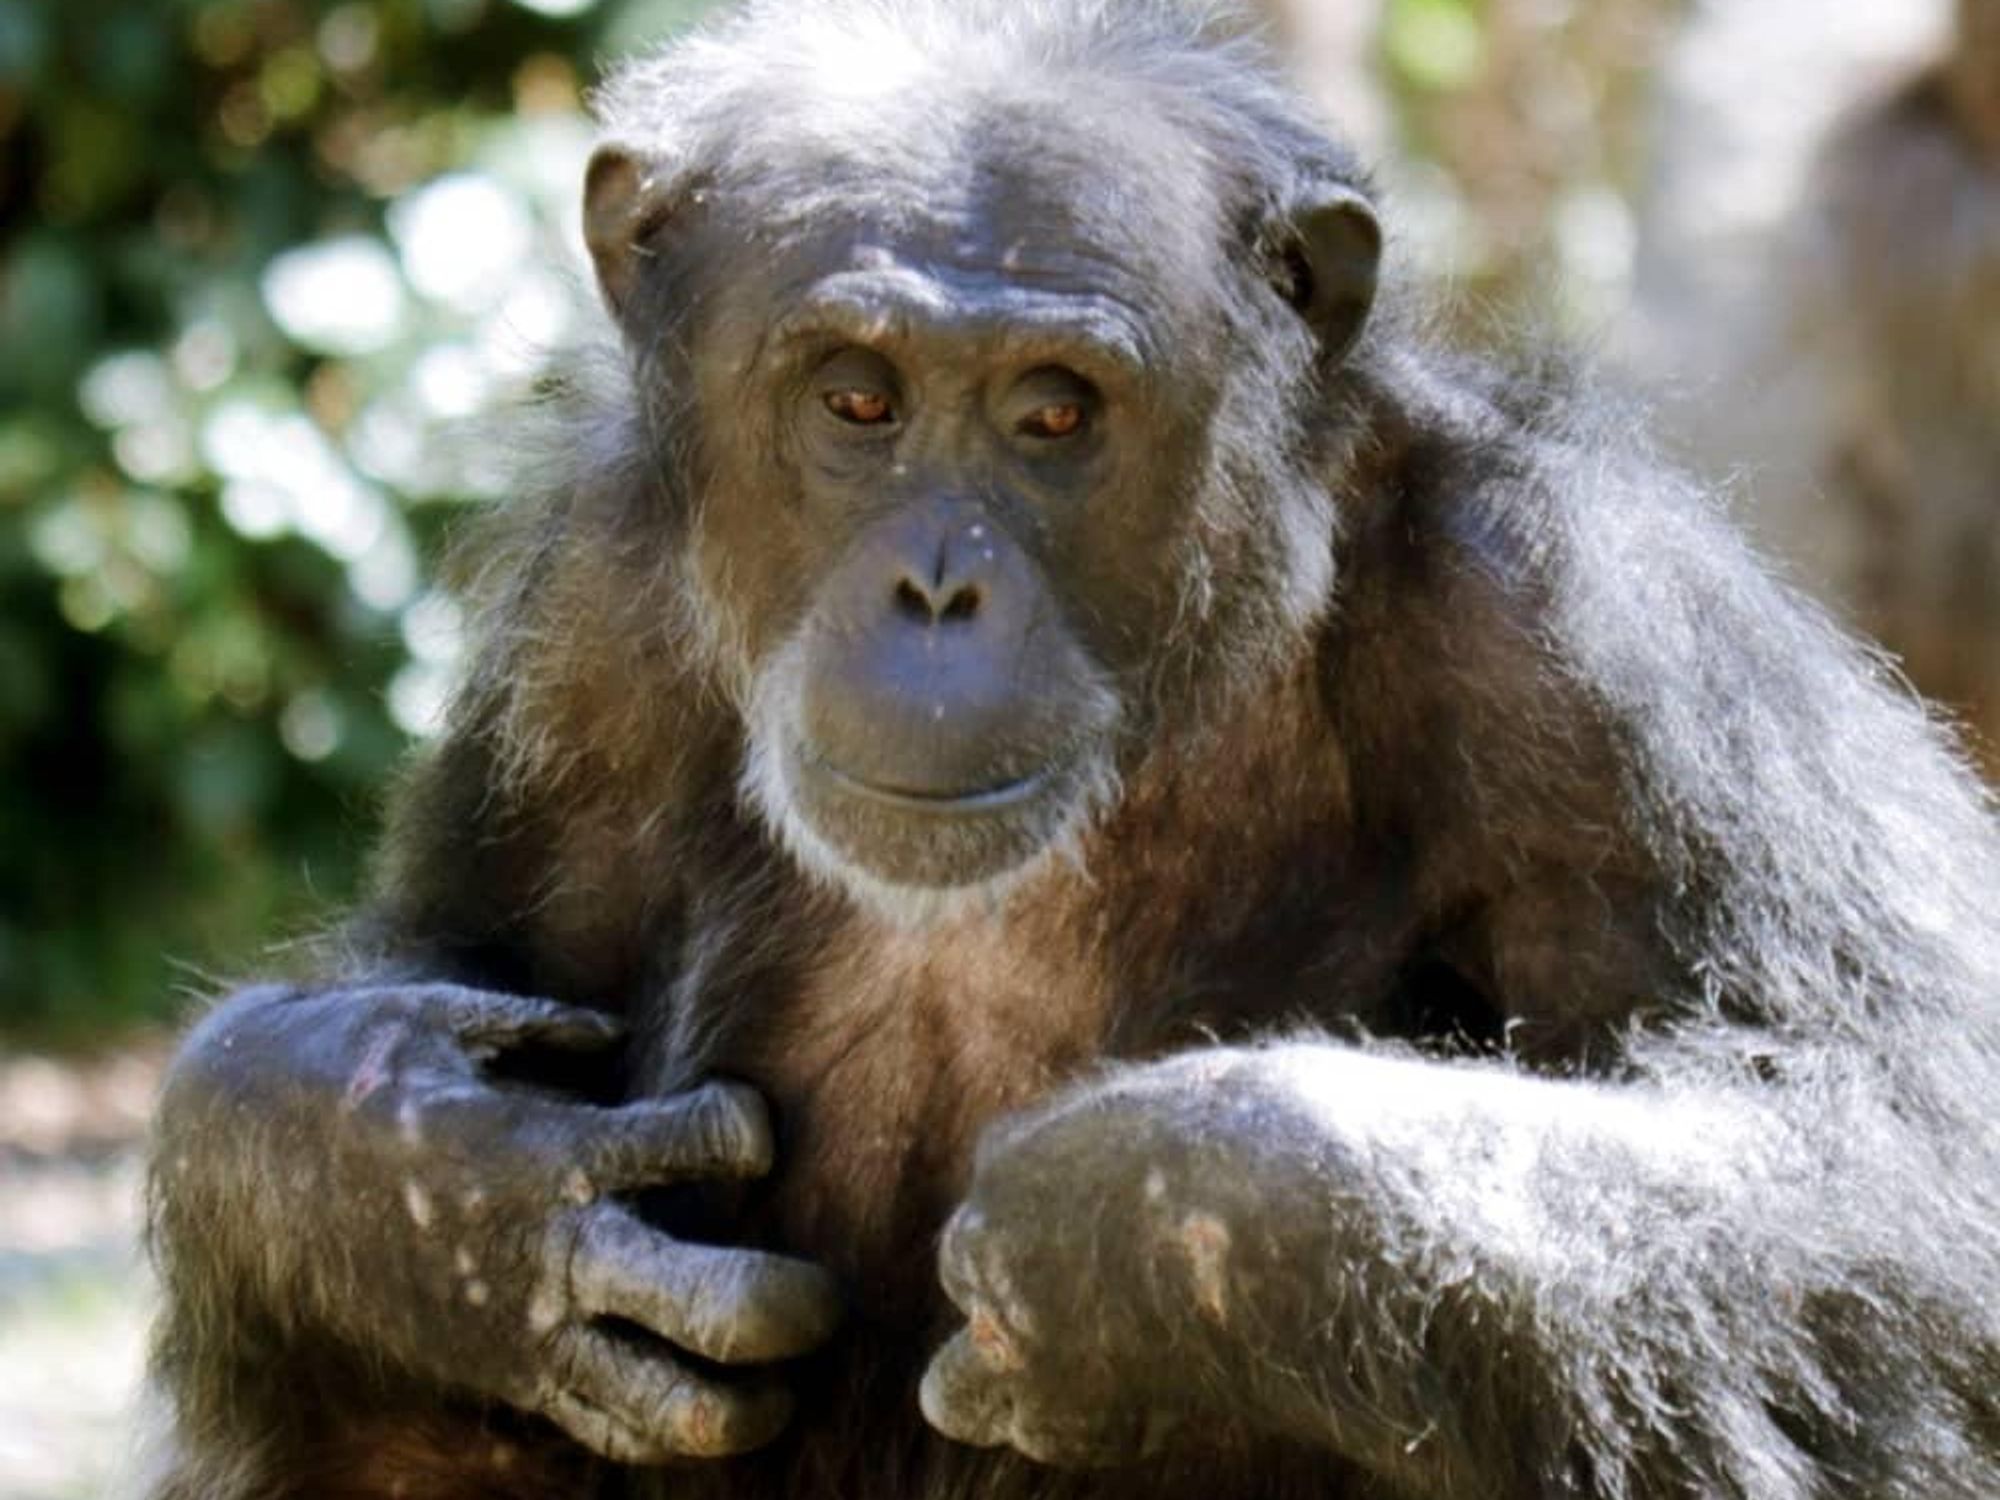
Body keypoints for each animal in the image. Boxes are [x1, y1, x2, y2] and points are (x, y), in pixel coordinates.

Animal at [143, 2, 2000, 1497]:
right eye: (858, 398)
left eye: (1054, 414)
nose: (937, 587)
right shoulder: (584, 633)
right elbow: (448, 961)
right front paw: (430, 1187)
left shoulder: (1588, 637)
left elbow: (1897, 1149)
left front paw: (1160, 1218)